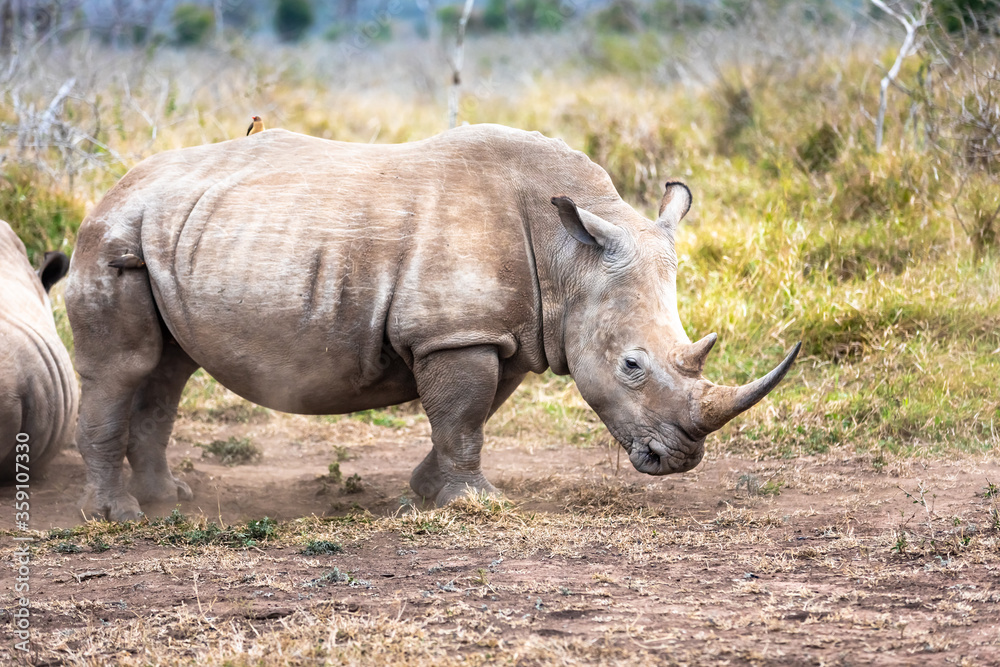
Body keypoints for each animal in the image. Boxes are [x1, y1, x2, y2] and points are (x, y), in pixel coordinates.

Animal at [66, 124, 798, 521]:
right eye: (632, 366)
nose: (679, 460)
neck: (571, 256)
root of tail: (110, 188)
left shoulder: (501, 331)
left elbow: (471, 414)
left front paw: (424, 495)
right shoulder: (455, 331)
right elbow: (464, 415)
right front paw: (478, 505)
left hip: (169, 234)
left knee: (169, 372)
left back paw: (170, 500)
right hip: (112, 237)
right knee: (125, 367)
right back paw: (118, 517)